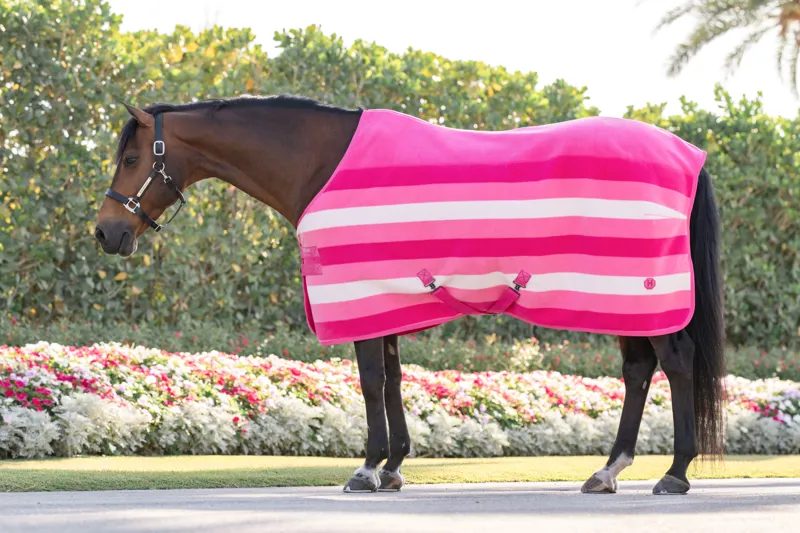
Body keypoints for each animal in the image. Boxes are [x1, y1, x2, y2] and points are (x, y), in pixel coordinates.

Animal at [94, 94, 726, 496]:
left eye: (132, 158)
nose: (106, 233)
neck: (322, 165)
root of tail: (687, 156)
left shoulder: (361, 295)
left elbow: (372, 381)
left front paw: (367, 469)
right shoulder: (388, 300)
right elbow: (395, 379)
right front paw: (395, 466)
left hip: (645, 294)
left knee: (676, 363)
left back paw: (674, 474)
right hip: (624, 301)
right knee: (639, 372)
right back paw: (607, 473)